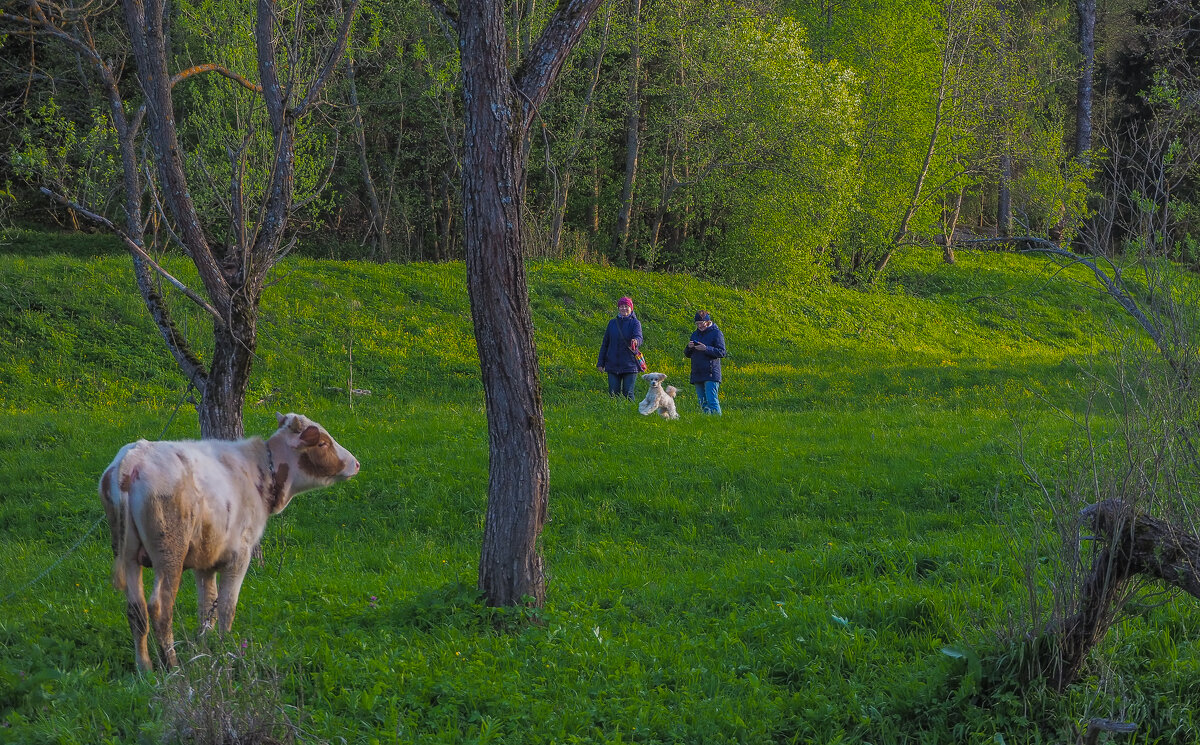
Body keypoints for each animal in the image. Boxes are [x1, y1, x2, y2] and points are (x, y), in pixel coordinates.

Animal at [99, 412, 357, 667]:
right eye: (322, 443)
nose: (355, 463)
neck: (262, 471)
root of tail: (133, 458)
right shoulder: (239, 556)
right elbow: (226, 605)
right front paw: (225, 650)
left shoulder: (205, 559)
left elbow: (207, 606)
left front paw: (206, 647)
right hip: (170, 552)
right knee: (161, 608)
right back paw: (172, 666)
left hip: (128, 554)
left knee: (137, 611)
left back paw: (145, 668)